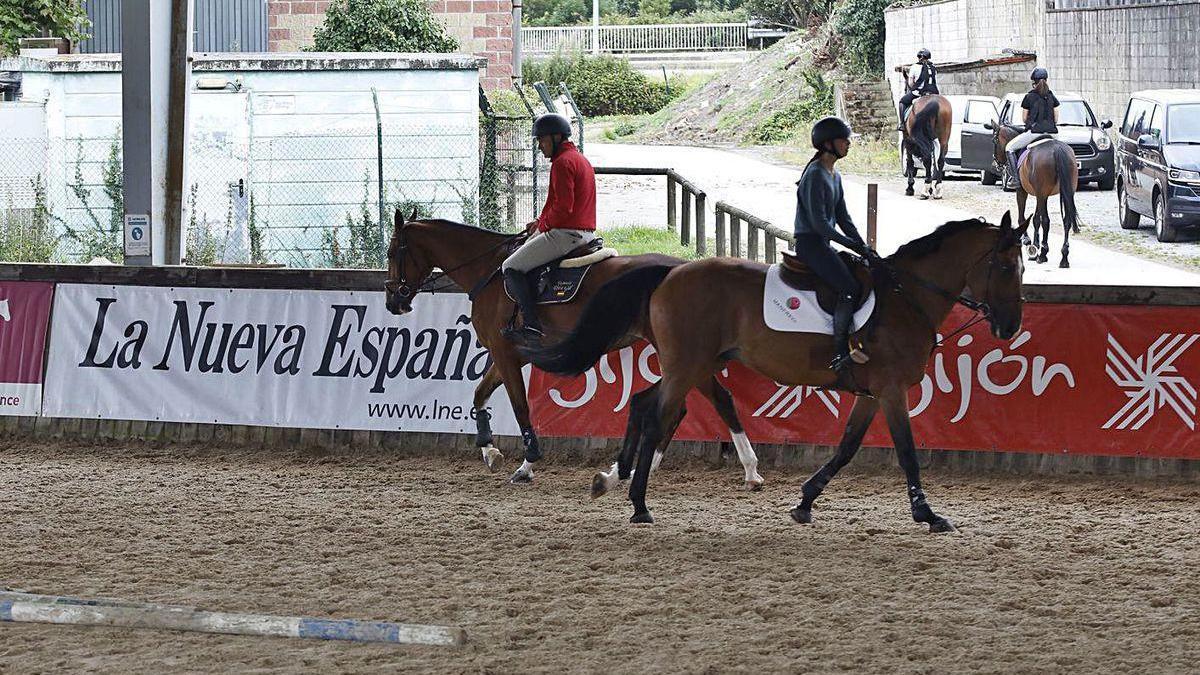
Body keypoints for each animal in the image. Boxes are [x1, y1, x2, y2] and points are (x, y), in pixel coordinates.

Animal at [379, 207, 763, 485]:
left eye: (393, 252)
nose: (393, 302)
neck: (489, 271)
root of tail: (684, 269)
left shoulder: (505, 354)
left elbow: (519, 406)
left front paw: (527, 462)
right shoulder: (508, 355)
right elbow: (479, 394)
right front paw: (489, 451)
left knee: (713, 400)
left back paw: (746, 468)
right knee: (687, 406)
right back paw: (647, 468)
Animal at [520, 212, 1027, 528]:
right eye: (1006, 266)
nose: (1009, 326)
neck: (907, 299)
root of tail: (670, 272)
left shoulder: (871, 394)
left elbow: (846, 448)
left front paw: (805, 501)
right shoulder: (891, 390)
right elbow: (906, 451)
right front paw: (927, 514)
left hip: (693, 364)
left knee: (647, 403)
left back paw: (615, 479)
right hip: (687, 366)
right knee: (659, 415)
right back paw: (639, 502)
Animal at [988, 124, 1084, 266]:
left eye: (994, 141)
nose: (995, 164)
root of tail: (1057, 149)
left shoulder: (1023, 192)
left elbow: (1024, 218)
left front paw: (1028, 242)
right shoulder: (1041, 195)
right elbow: (1035, 219)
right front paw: (1035, 245)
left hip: (1041, 194)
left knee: (1046, 221)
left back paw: (1043, 254)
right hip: (1064, 192)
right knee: (1066, 221)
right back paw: (1064, 257)